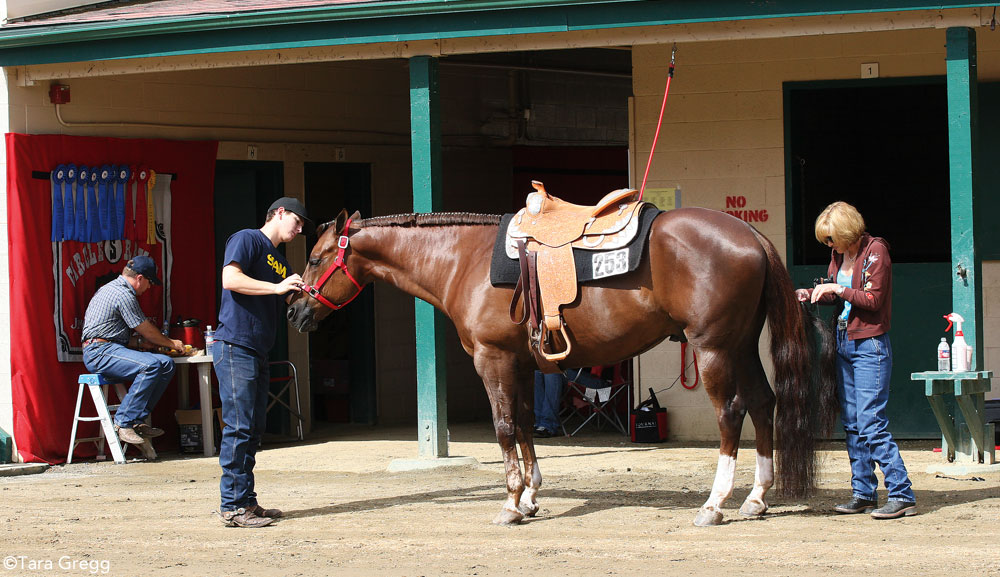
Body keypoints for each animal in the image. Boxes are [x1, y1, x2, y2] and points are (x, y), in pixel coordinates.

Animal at [288, 208, 836, 528]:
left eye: (315, 257)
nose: (294, 311)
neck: (463, 260)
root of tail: (750, 235)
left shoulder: (492, 359)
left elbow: (504, 427)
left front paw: (511, 503)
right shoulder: (522, 364)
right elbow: (527, 425)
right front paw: (531, 496)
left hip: (715, 348)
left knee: (731, 414)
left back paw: (715, 504)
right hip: (741, 347)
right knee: (764, 404)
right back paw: (757, 498)